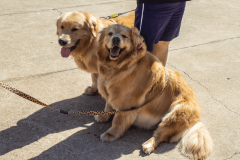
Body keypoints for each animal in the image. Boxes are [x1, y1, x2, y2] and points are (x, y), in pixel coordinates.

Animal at [94, 24, 213, 159]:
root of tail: (197, 120)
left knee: (160, 135)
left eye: (124, 36)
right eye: (110, 33)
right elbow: (108, 106)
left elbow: (117, 121)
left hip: (176, 113)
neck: (120, 66)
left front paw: (111, 134)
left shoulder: (126, 105)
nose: (115, 39)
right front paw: (103, 117)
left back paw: (149, 145)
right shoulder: (111, 95)